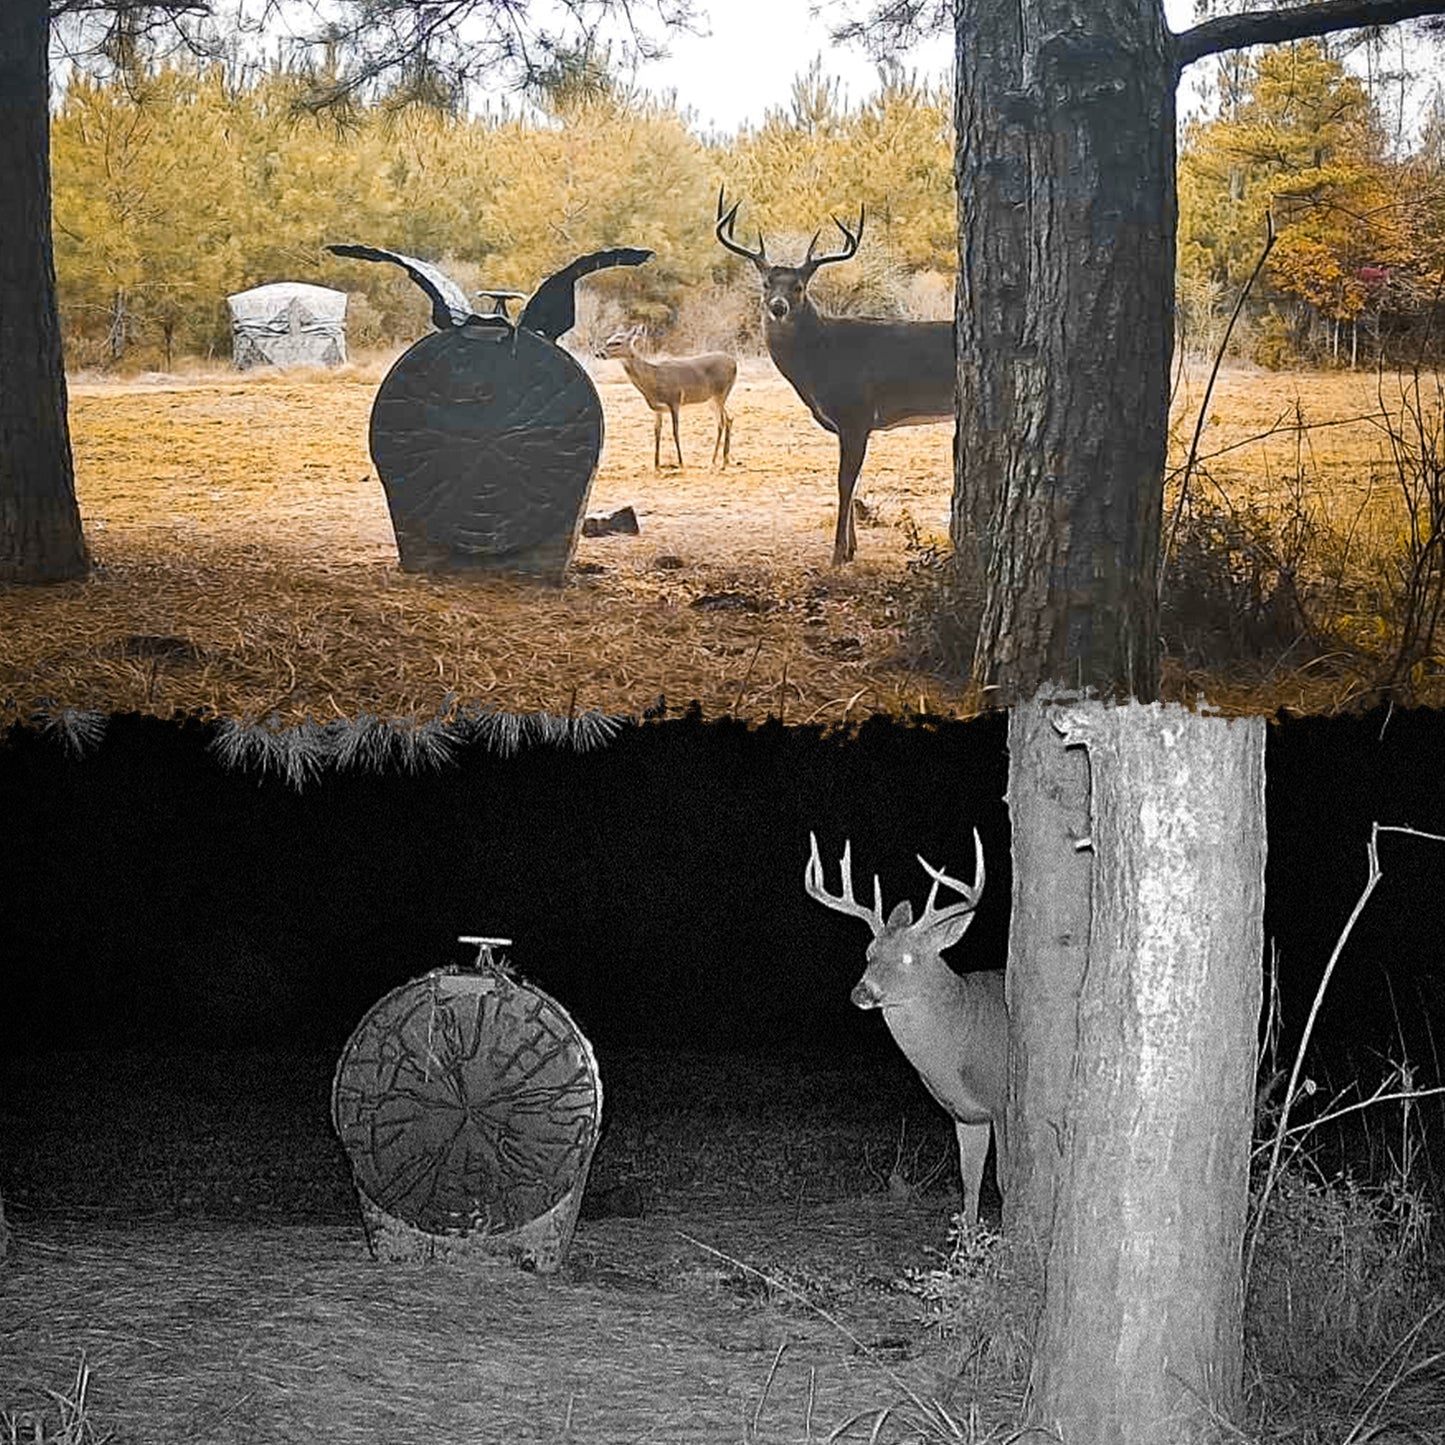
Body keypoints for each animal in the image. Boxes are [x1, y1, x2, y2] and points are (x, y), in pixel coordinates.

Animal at [601, 326, 737, 470]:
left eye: (617, 342)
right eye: (608, 340)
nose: (599, 353)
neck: (654, 379)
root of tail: (734, 362)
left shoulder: (674, 400)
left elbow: (675, 431)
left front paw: (681, 462)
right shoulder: (657, 408)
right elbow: (657, 431)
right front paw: (656, 465)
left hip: (720, 394)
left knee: (721, 422)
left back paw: (715, 461)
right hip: (713, 400)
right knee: (729, 419)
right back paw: (724, 460)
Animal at [716, 189, 954, 565]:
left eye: (799, 287)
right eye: (767, 283)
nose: (778, 307)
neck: (822, 359)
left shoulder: (856, 414)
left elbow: (844, 482)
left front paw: (839, 552)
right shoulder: (853, 424)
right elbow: (854, 484)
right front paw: (852, 548)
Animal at [805, 831, 1007, 1225]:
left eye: (909, 958)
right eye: (869, 952)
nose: (862, 992)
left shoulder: (1004, 1101)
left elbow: (1006, 1180)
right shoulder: (967, 1115)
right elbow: (970, 1184)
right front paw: (967, 1239)